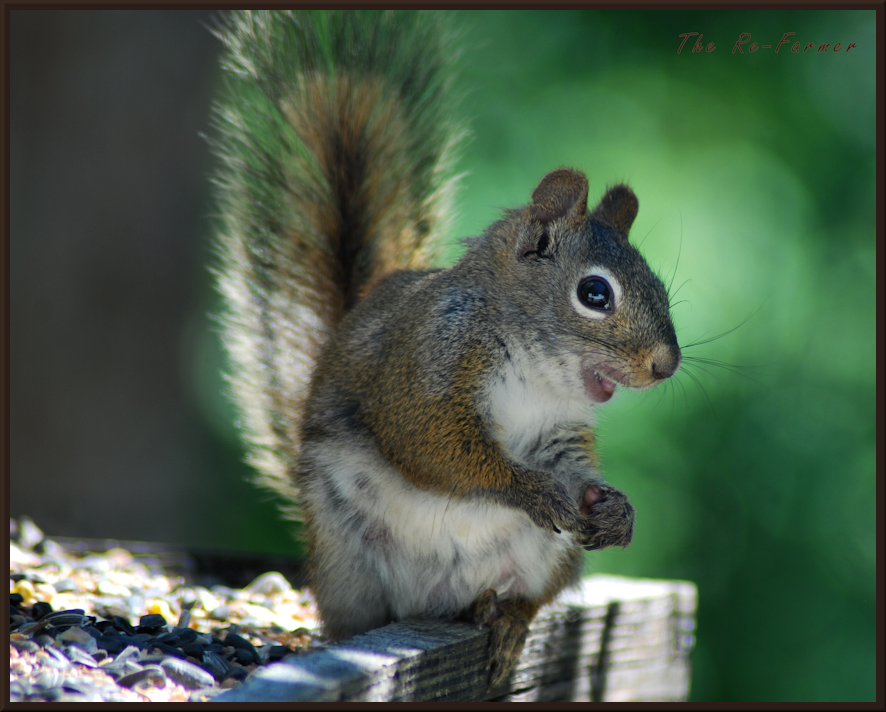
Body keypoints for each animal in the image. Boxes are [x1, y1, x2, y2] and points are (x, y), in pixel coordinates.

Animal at [211, 10, 681, 689]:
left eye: (660, 286)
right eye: (595, 293)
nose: (666, 364)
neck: (536, 371)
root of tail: (435, 603)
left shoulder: (561, 429)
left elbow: (574, 468)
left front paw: (615, 509)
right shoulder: (426, 367)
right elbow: (438, 448)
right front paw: (532, 490)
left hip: (547, 556)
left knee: (524, 597)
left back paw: (503, 618)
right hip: (346, 560)